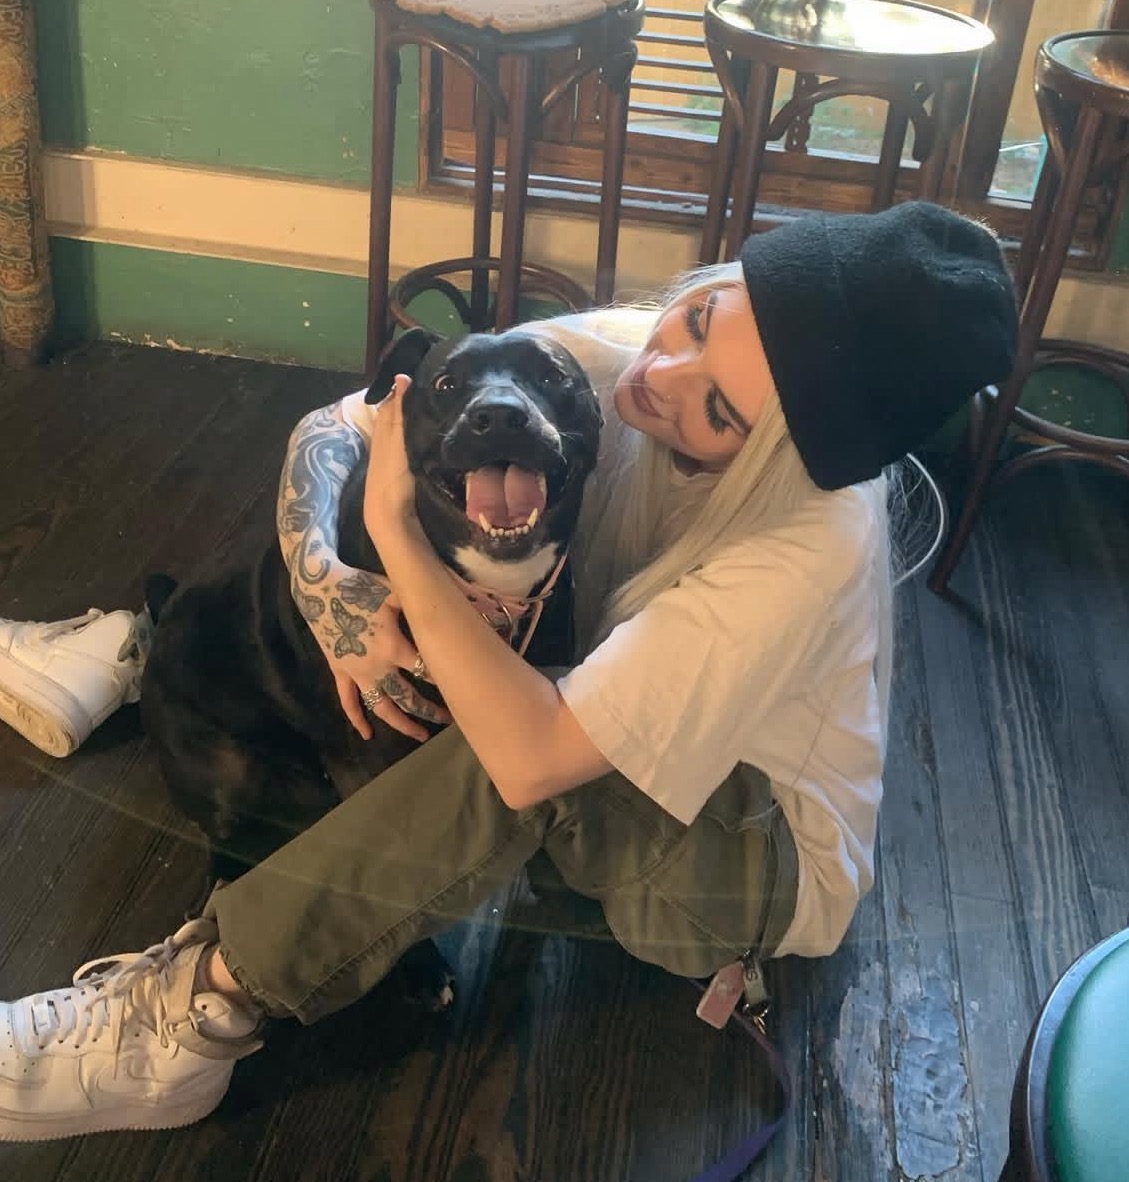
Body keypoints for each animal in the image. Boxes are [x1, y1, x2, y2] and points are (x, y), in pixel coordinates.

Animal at [140, 327, 602, 1008]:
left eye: (550, 376)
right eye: (446, 383)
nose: (499, 417)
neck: (487, 594)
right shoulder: (370, 761)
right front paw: (421, 970)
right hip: (228, 766)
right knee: (223, 842)